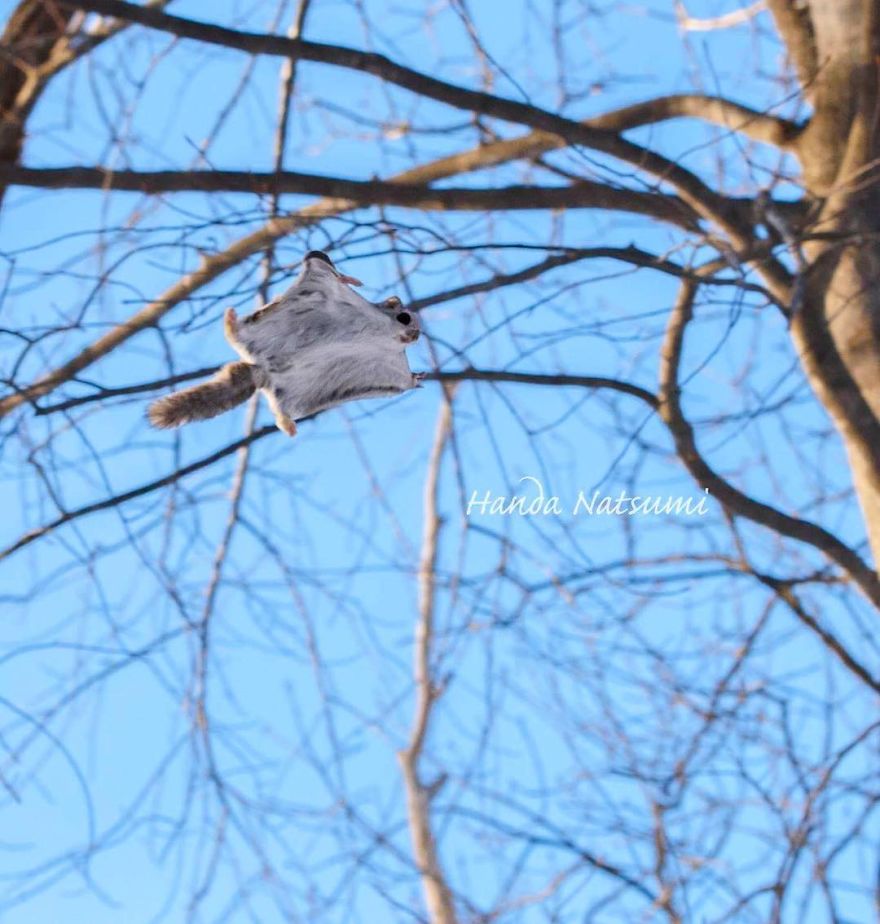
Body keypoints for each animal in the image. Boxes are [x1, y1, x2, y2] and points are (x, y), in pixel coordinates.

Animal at [148, 251, 423, 437]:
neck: (384, 332)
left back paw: (286, 423)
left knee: (280, 410)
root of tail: (262, 371)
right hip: (253, 332)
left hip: (294, 394)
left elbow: (406, 380)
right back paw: (230, 324)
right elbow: (318, 260)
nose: (416, 335)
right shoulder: (321, 275)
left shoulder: (396, 369)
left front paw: (416, 377)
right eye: (405, 317)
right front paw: (348, 279)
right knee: (235, 333)